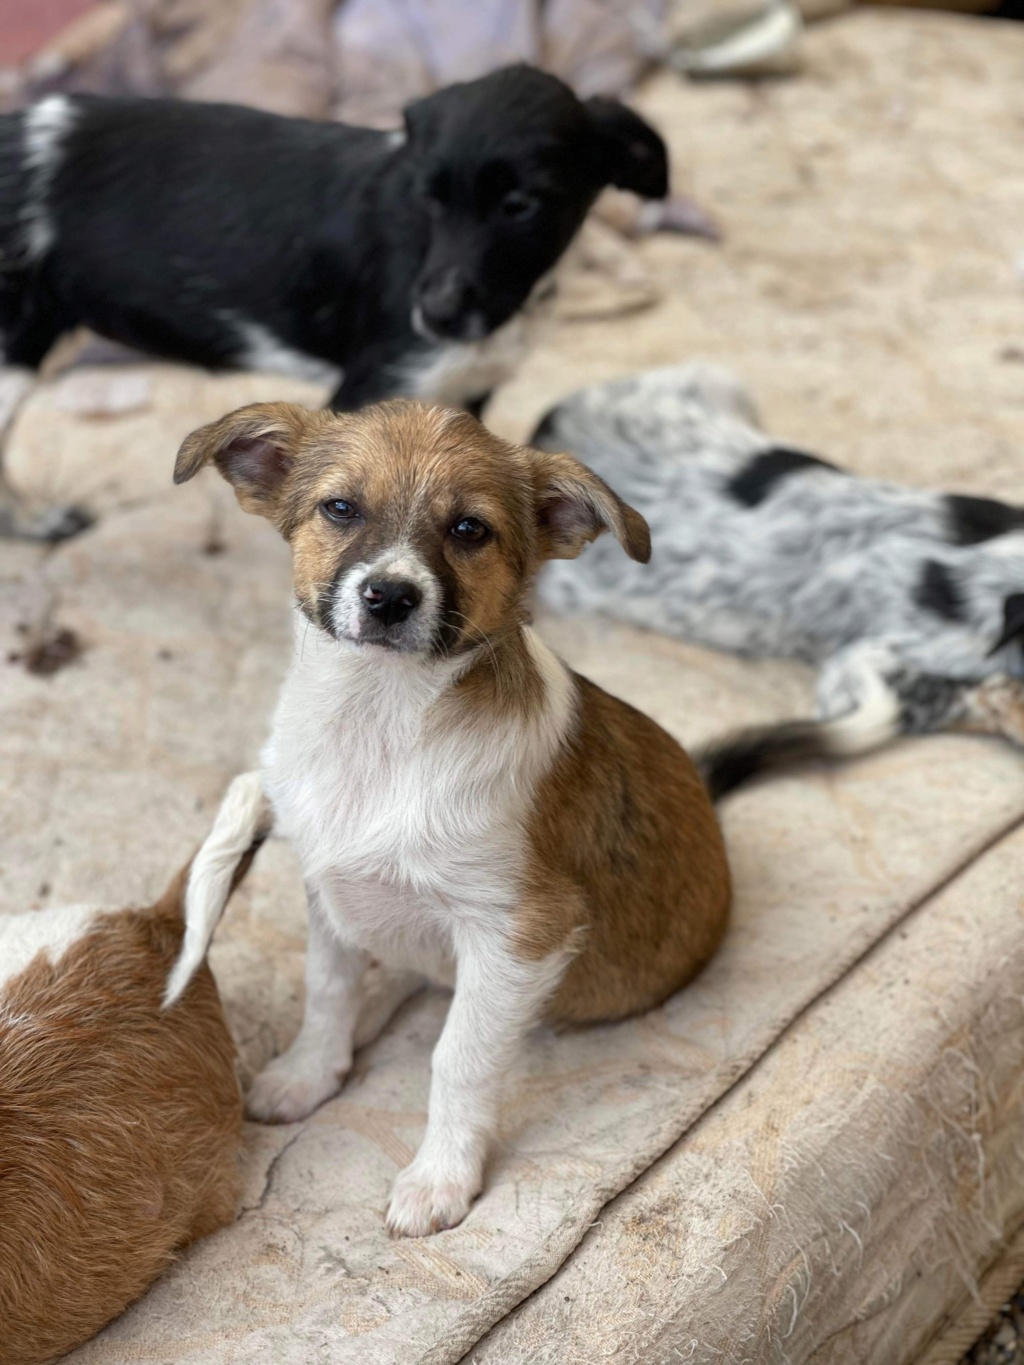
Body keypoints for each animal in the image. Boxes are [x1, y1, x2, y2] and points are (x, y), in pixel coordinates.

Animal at [168, 395, 731, 1239]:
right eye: (340, 508)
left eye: (470, 528)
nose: (390, 596)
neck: (379, 721)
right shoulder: (327, 885)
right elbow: (326, 990)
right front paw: (308, 1073)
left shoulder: (519, 931)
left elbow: (457, 1056)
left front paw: (439, 1177)